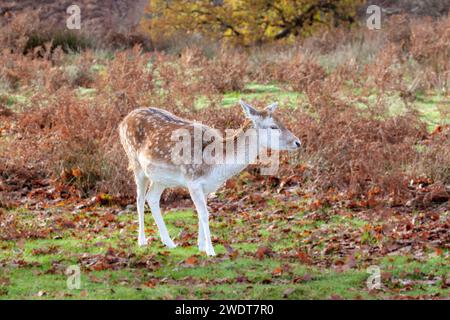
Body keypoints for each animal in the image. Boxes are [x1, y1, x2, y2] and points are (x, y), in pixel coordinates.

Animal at [119, 101, 300, 256]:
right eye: (273, 126)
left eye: (282, 121)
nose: (298, 142)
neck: (215, 166)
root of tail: (122, 121)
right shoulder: (192, 180)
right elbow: (205, 214)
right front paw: (211, 251)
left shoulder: (207, 187)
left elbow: (201, 213)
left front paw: (201, 247)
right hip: (135, 162)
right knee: (139, 199)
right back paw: (142, 241)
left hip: (160, 177)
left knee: (152, 197)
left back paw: (169, 242)